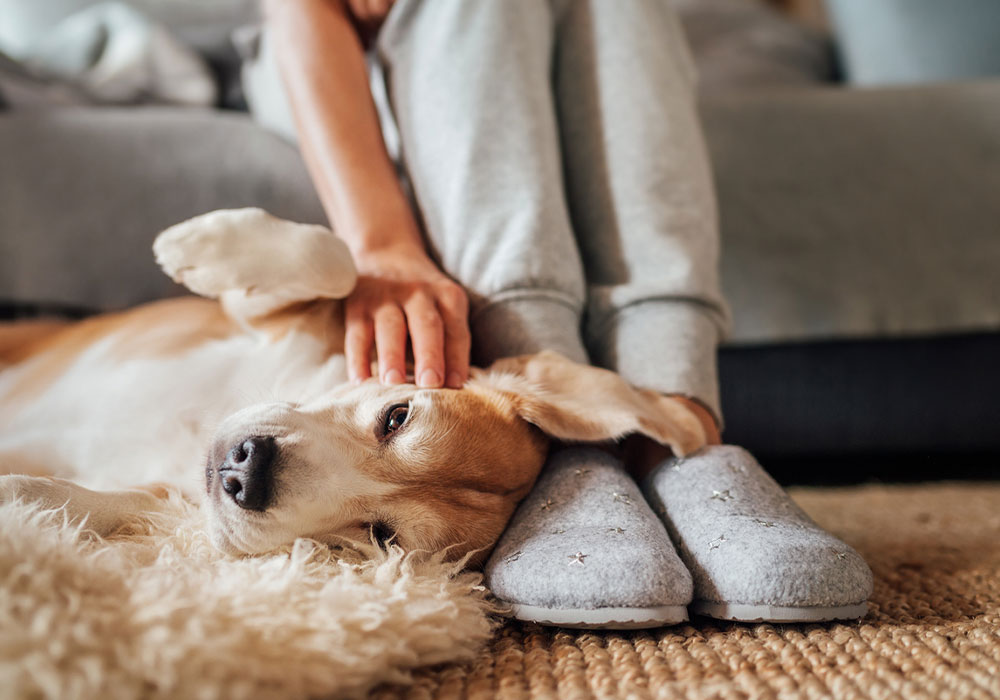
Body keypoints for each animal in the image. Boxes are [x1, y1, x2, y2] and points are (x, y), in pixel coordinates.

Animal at [0, 208, 704, 564]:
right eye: (397, 415)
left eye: (381, 535)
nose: (246, 471)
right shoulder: (268, 320)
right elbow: (333, 261)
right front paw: (198, 245)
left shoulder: (162, 499)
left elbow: (80, 501)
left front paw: (20, 503)